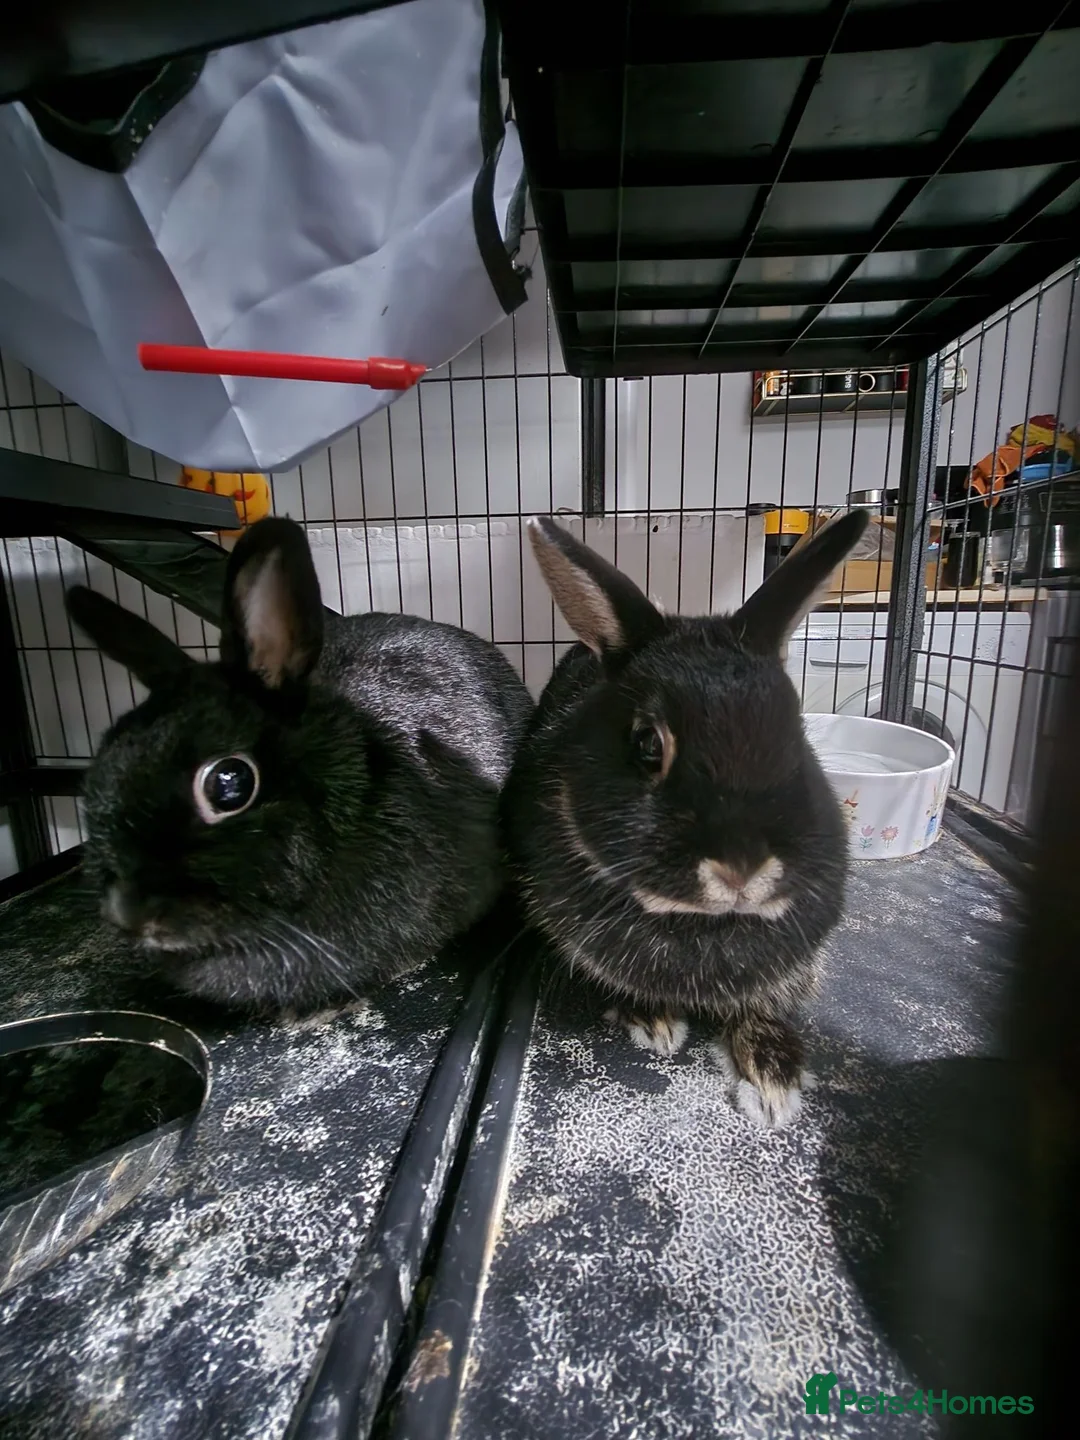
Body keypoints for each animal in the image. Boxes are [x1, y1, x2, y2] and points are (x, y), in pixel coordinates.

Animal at [503, 509, 869, 1127]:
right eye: (648, 744)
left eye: (797, 737)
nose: (743, 870)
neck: (704, 922)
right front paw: (653, 1023)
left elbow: (764, 1004)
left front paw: (774, 1083)